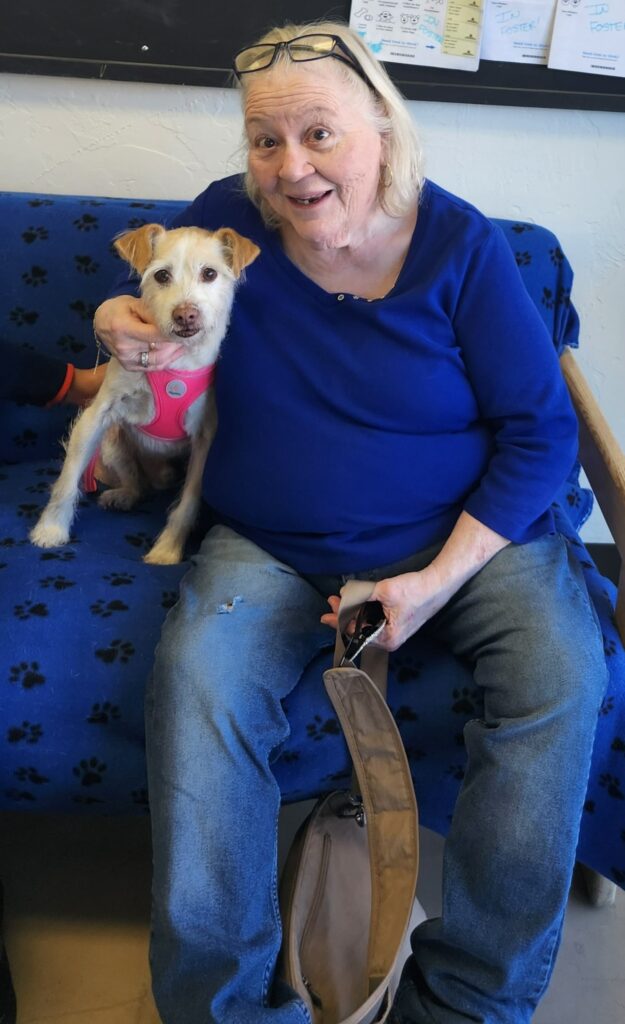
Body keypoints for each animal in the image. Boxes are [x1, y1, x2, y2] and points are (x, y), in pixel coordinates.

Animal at [30, 223, 260, 564]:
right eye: (162, 275)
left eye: (210, 273)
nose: (186, 314)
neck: (177, 361)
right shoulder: (94, 418)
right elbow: (67, 480)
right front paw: (50, 530)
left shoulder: (204, 441)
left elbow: (188, 502)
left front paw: (167, 550)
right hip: (112, 443)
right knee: (136, 483)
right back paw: (122, 495)